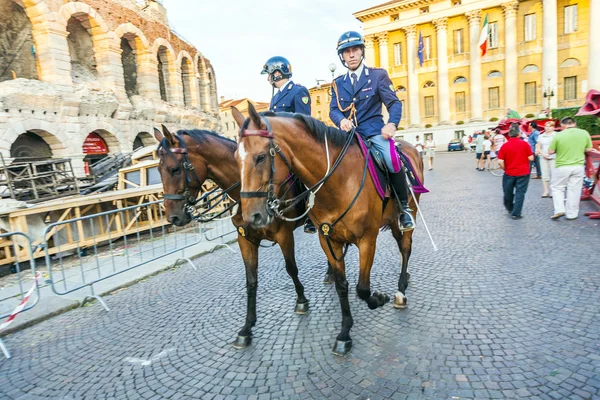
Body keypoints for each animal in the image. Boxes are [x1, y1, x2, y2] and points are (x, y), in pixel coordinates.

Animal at [152, 126, 310, 350]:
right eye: (158, 171)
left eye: (174, 169)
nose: (173, 217)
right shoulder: (245, 240)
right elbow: (251, 281)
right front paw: (247, 328)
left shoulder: (284, 235)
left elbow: (291, 268)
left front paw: (302, 300)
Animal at [232, 104, 424, 356]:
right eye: (236, 159)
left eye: (261, 157)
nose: (251, 216)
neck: (339, 182)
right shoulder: (327, 239)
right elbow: (343, 286)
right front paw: (344, 333)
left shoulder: (367, 239)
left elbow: (363, 288)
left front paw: (378, 298)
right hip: (391, 220)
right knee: (401, 246)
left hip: (410, 211)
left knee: (406, 247)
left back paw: (400, 291)